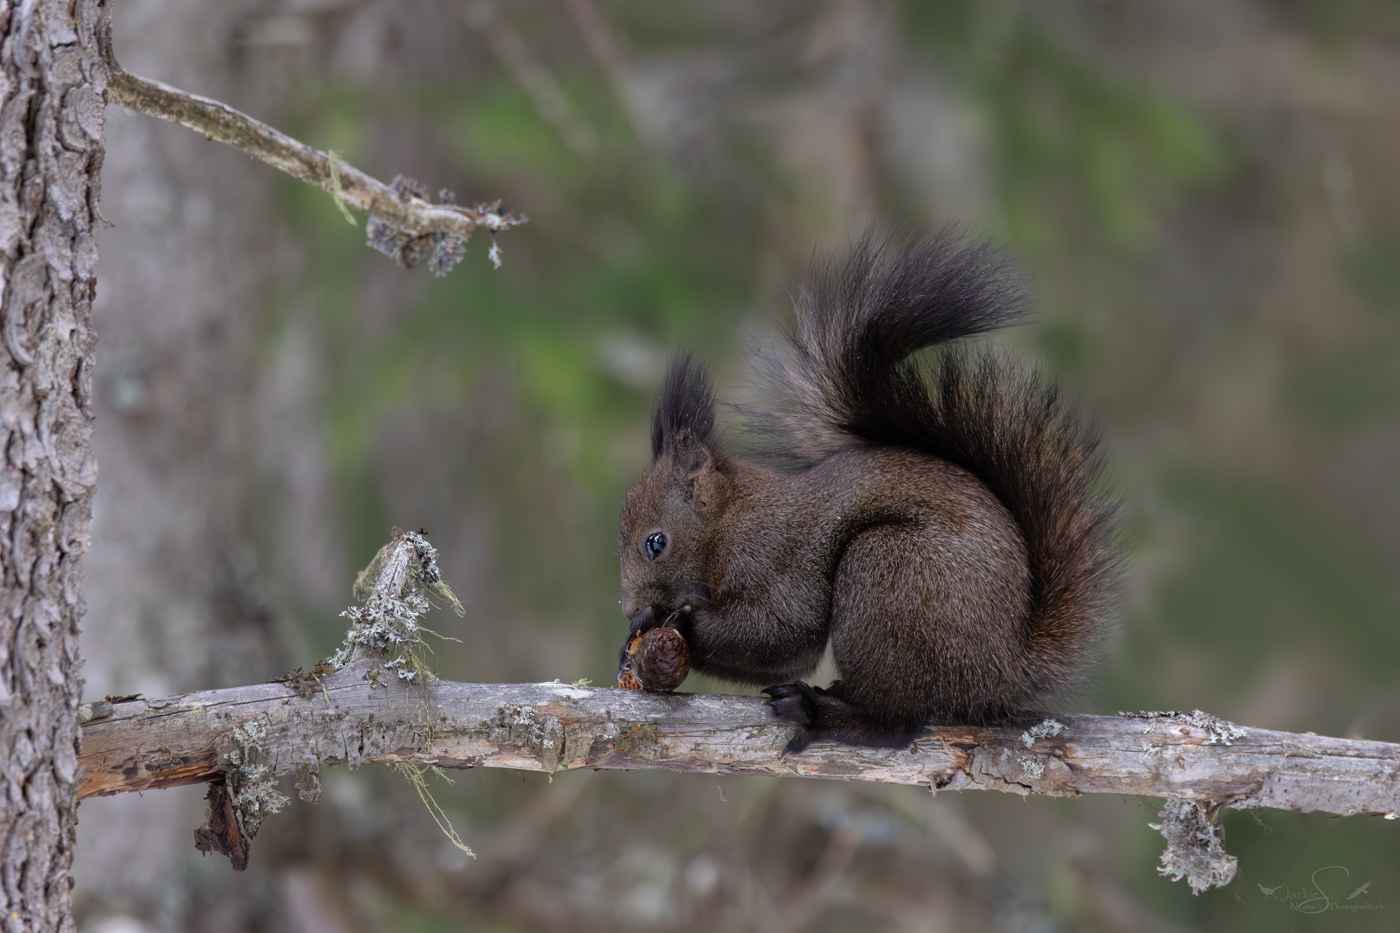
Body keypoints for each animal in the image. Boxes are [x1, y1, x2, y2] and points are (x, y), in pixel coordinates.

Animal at [618, 228, 1120, 750]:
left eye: (655, 543)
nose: (629, 607)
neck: (729, 521)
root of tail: (1007, 669)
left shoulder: (774, 554)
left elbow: (786, 631)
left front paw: (670, 620)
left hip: (887, 576)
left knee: (897, 722)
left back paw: (820, 713)